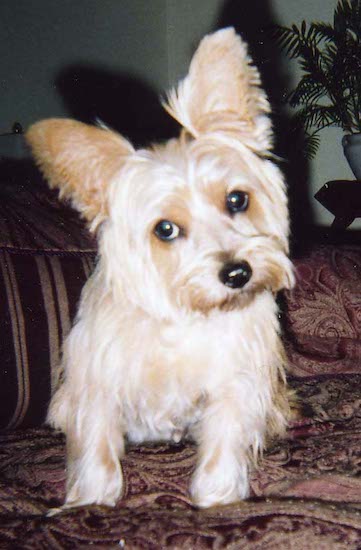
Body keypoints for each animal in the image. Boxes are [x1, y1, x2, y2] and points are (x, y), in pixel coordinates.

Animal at [26, 29, 294, 512]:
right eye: (165, 229)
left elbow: (223, 447)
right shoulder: (96, 384)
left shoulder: (234, 384)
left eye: (237, 199)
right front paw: (90, 504)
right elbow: (96, 451)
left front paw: (218, 500)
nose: (238, 274)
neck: (184, 317)